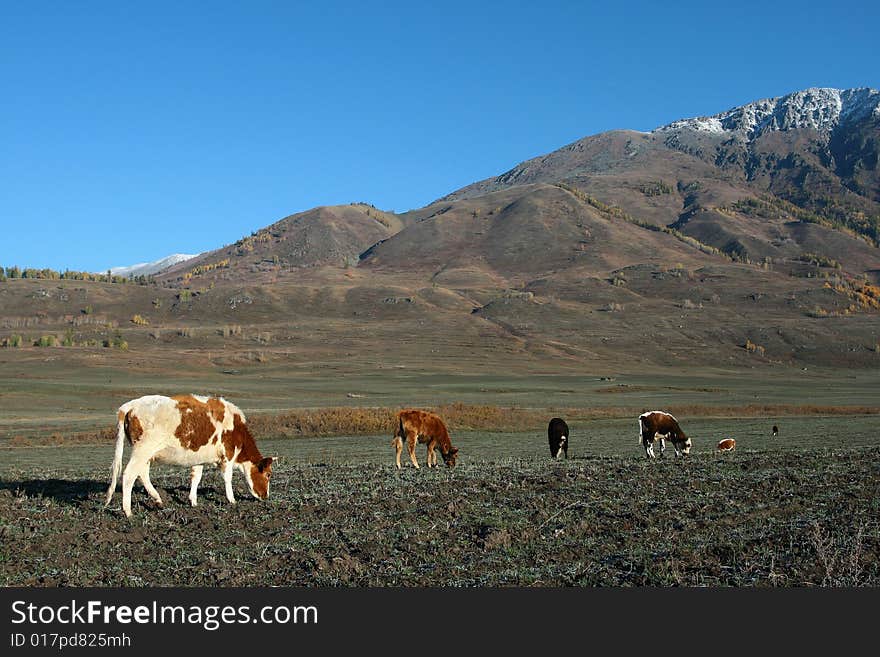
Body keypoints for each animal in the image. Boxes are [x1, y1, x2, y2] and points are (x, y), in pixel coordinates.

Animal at [106, 392, 278, 516]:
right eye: (268, 474)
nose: (266, 496)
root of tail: (130, 405)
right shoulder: (228, 455)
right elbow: (227, 478)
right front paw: (232, 500)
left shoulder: (199, 458)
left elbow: (196, 477)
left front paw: (193, 502)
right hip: (143, 450)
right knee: (129, 474)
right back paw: (128, 512)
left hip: (146, 454)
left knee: (142, 474)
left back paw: (158, 500)